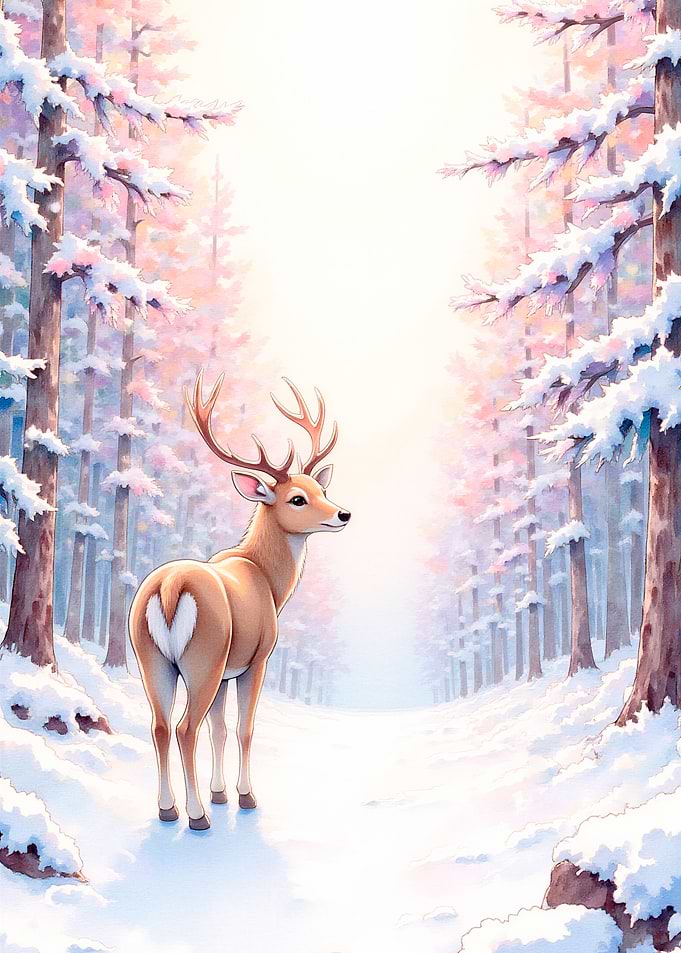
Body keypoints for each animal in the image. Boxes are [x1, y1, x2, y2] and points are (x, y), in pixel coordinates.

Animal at [129, 371, 350, 830]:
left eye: (320, 488)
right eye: (297, 498)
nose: (343, 514)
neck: (269, 582)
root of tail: (169, 589)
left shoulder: (228, 672)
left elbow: (220, 728)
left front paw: (219, 794)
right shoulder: (256, 658)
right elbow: (244, 728)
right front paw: (243, 797)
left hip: (151, 657)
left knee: (160, 725)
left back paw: (167, 809)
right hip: (204, 656)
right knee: (184, 728)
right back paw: (196, 817)